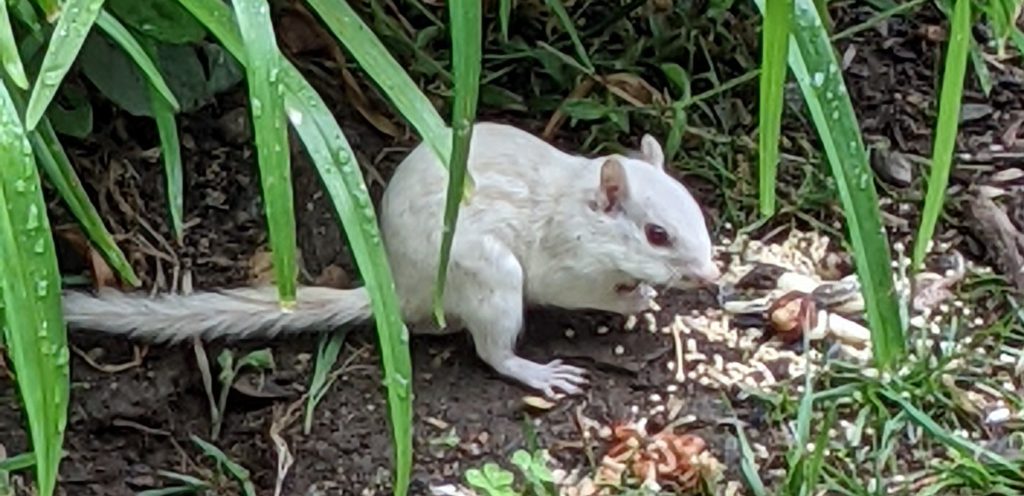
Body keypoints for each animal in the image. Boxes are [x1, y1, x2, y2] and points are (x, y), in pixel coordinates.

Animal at [61, 121, 720, 397]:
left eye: (699, 214)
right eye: (657, 234)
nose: (712, 277)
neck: (580, 206)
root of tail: (398, 290)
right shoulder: (565, 261)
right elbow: (582, 290)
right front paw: (637, 296)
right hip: (493, 281)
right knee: (492, 352)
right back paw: (538, 372)